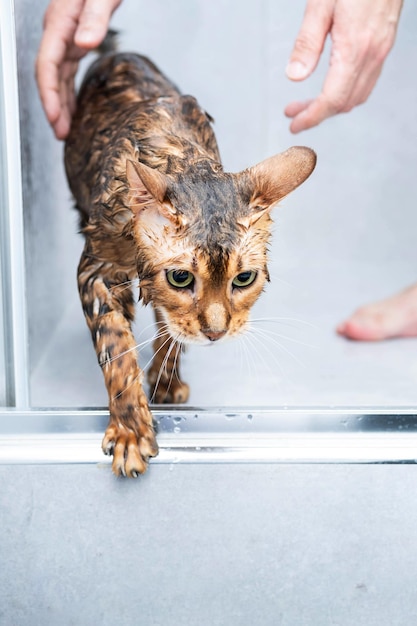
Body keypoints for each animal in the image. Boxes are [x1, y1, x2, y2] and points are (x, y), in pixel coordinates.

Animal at [64, 46, 316, 476]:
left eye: (243, 279)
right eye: (181, 278)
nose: (216, 333)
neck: (178, 156)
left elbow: (171, 329)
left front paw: (166, 381)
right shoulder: (97, 267)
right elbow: (115, 345)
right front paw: (130, 430)